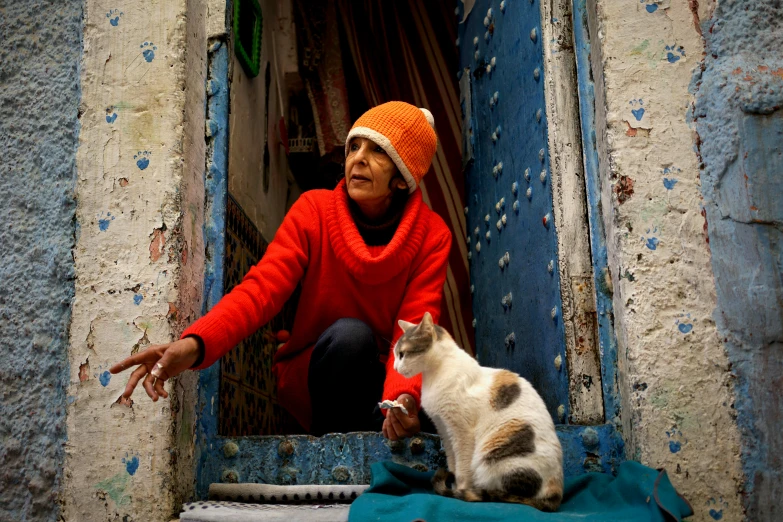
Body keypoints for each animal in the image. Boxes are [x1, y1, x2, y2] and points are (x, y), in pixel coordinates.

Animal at [398, 310, 564, 510]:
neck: (434, 374)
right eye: (396, 355)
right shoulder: (445, 430)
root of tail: (556, 493)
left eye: (402, 354)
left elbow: (462, 467)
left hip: (492, 459)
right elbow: (453, 463)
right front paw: (454, 486)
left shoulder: (461, 433)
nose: (395, 367)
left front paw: (460, 490)